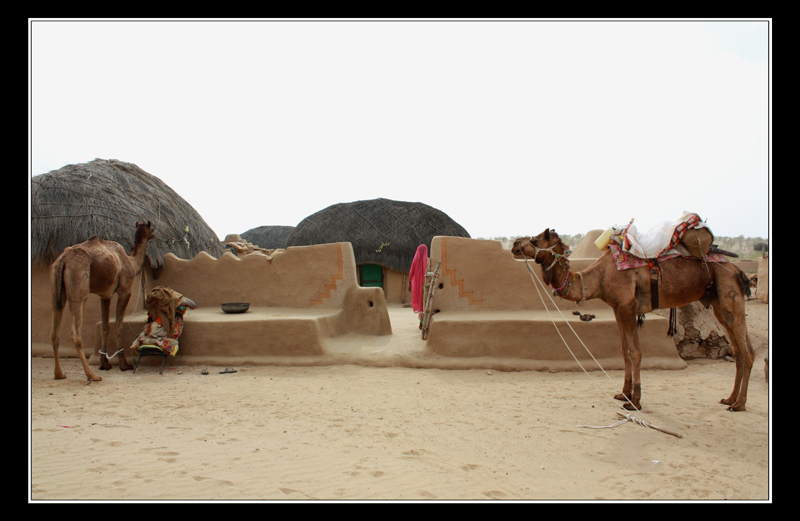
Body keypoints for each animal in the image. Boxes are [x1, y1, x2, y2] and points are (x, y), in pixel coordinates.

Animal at [50, 222, 155, 381]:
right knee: (76, 332)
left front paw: (104, 363)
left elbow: (105, 327)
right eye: (152, 228)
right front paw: (124, 364)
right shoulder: (125, 290)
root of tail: (63, 259)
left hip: (56, 287)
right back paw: (91, 375)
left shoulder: (105, 295)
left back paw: (59, 373)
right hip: (78, 285)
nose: (154, 233)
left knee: (55, 330)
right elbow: (118, 325)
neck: (131, 262)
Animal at [511, 228, 754, 412]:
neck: (599, 276)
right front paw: (623, 394)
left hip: (730, 296)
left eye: (535, 239)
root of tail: (737, 269)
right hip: (719, 304)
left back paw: (739, 404)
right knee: (739, 350)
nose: (514, 244)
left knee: (747, 352)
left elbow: (635, 352)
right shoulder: (618, 309)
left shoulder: (628, 307)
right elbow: (624, 351)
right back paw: (729, 398)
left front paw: (635, 401)